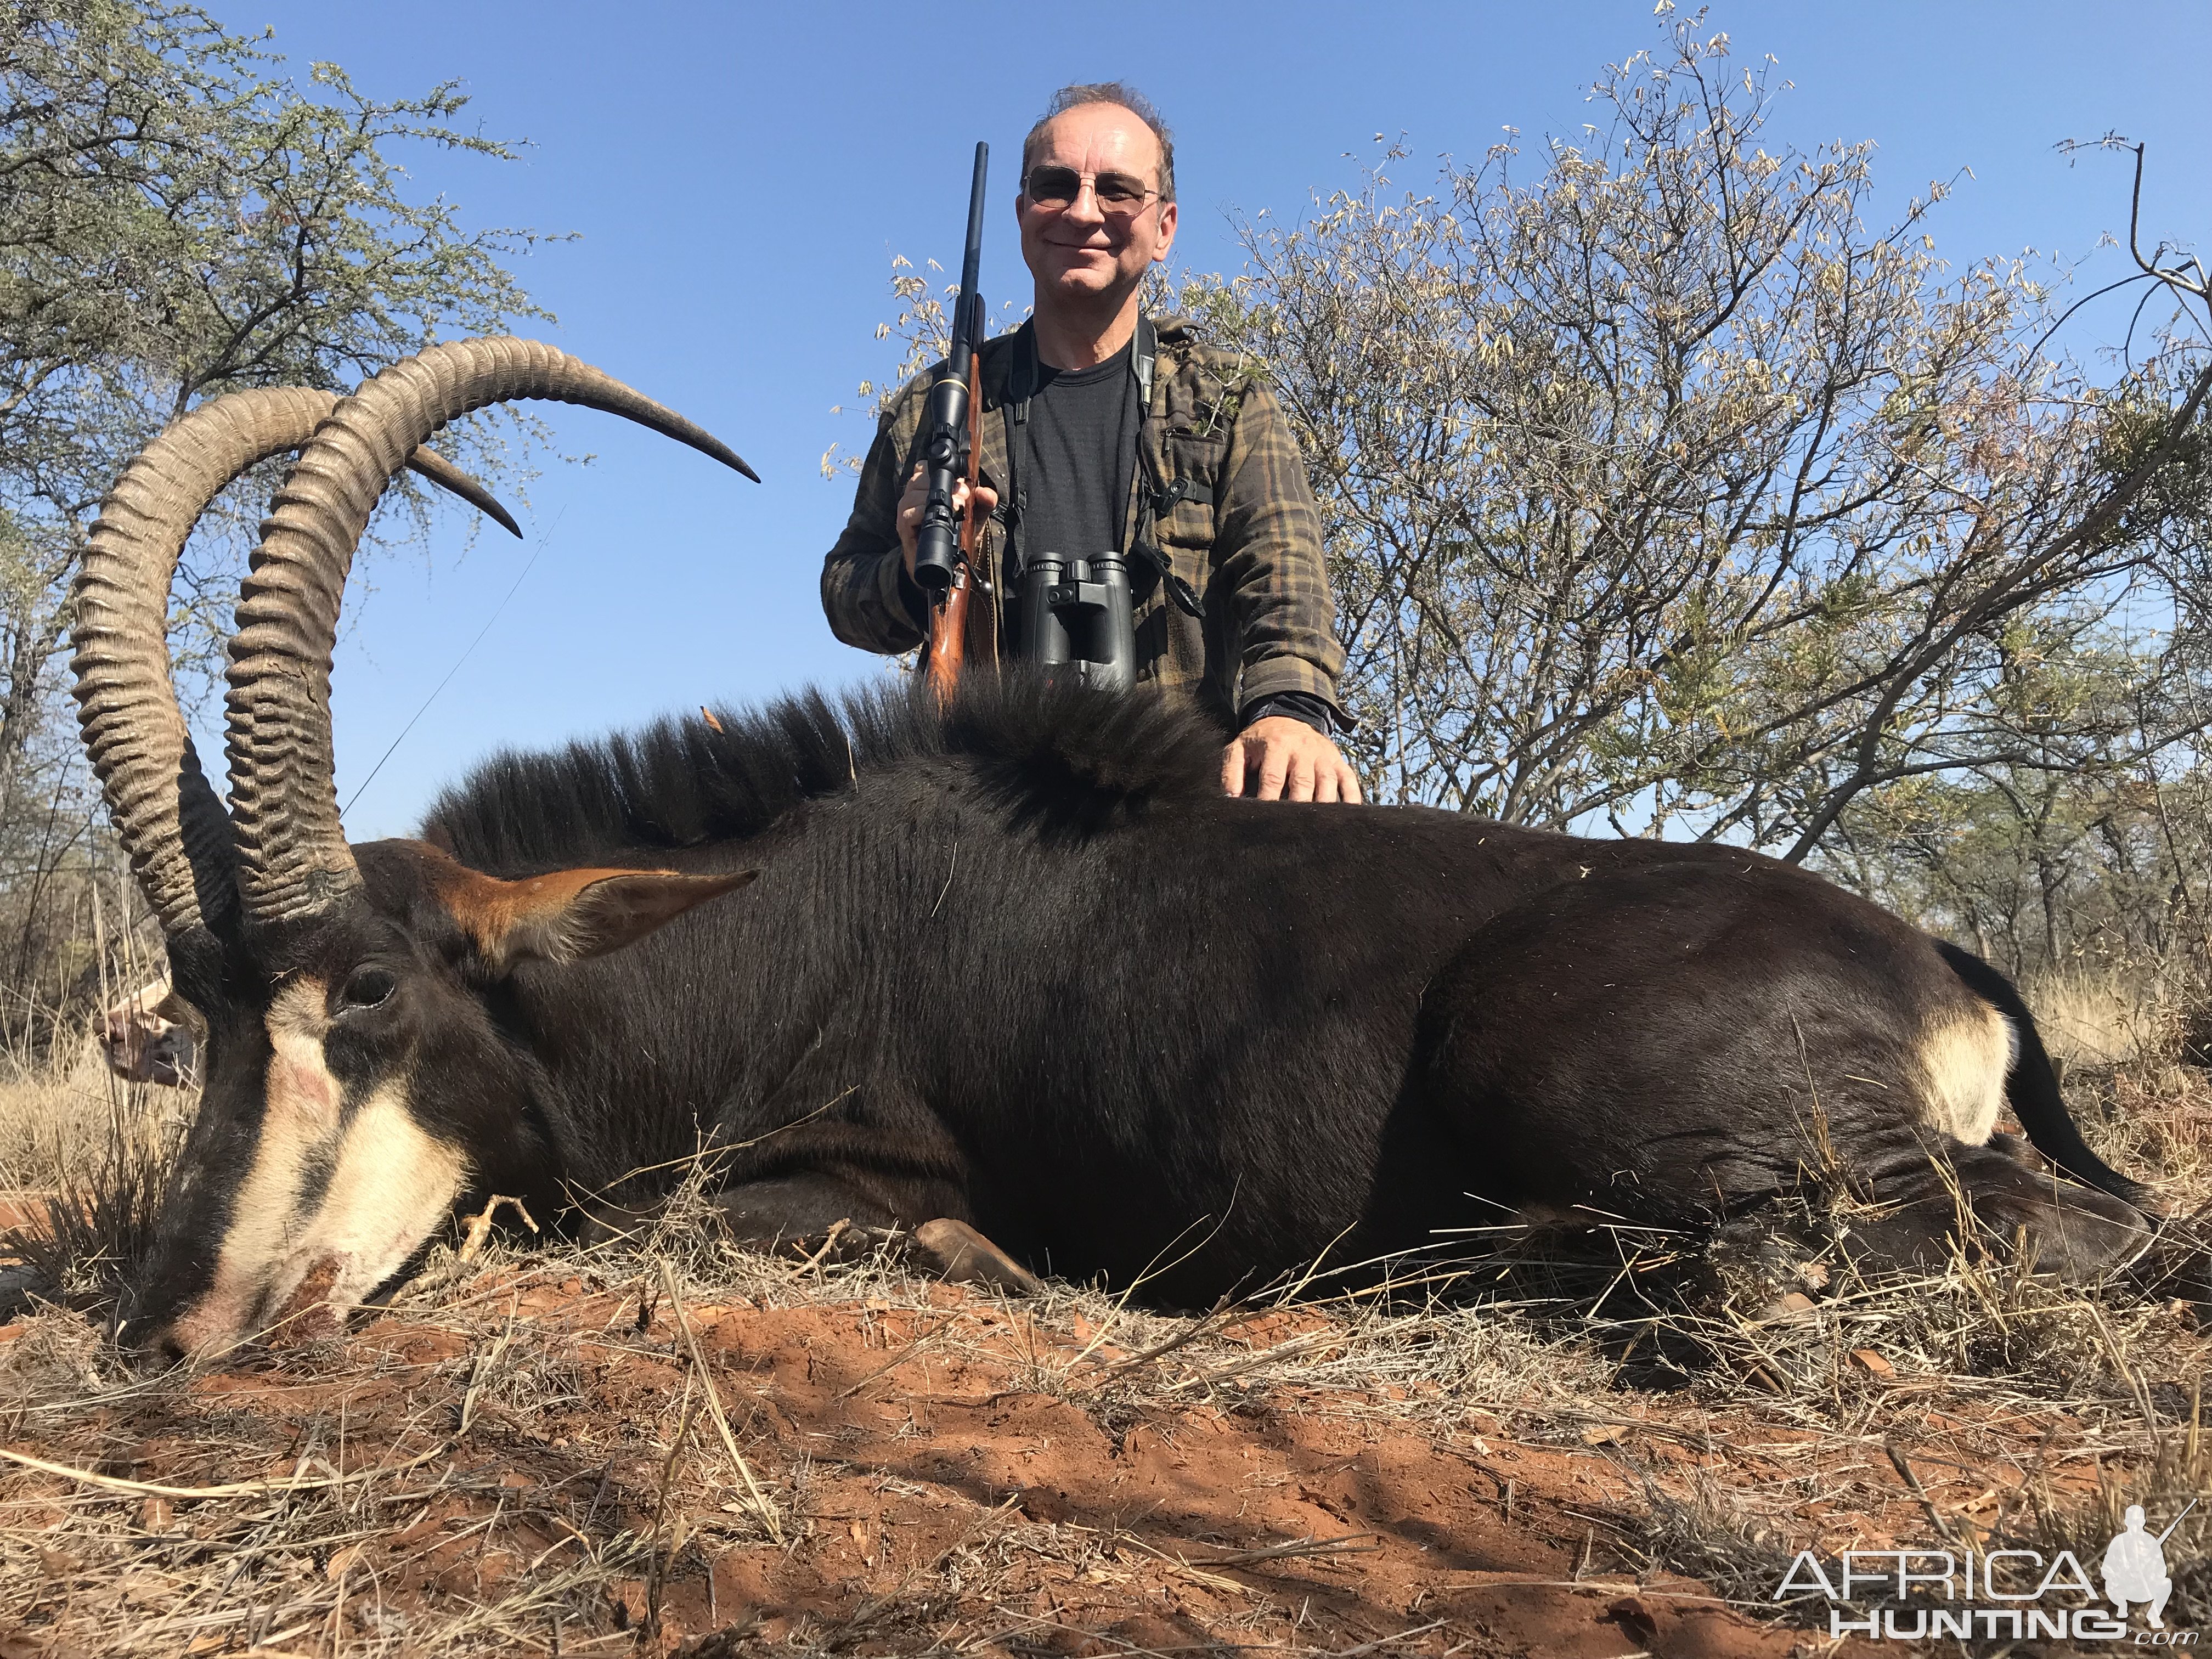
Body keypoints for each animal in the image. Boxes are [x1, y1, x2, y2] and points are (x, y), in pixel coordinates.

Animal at [78, 334, 2150, 1362]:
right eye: (197, 1018)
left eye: (365, 991)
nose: (170, 1331)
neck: (776, 911)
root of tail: (1940, 958)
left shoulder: (839, 1166)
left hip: (1591, 1087)